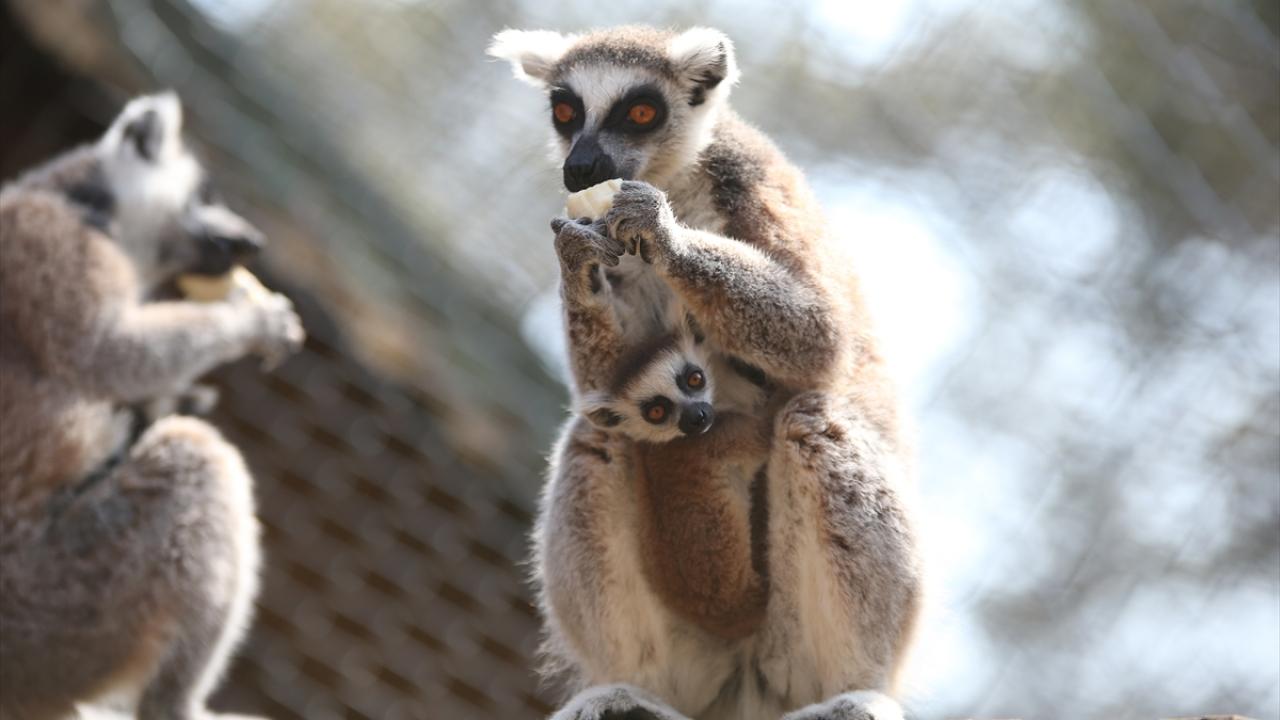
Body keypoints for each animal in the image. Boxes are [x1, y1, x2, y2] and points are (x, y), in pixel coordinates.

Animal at [0, 92, 303, 720]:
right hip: (65, 607)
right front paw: (251, 321)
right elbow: (108, 354)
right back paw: (177, 704)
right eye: (205, 196)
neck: (85, 204)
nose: (252, 240)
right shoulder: (55, 245)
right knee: (195, 459)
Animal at [491, 26, 923, 720]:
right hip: (693, 645)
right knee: (598, 432)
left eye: (640, 112)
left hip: (800, 642)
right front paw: (575, 260)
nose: (581, 167)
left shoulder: (746, 180)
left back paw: (853, 693)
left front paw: (662, 233)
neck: (677, 178)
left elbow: (822, 338)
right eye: (565, 111)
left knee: (813, 418)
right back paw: (628, 688)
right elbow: (609, 382)